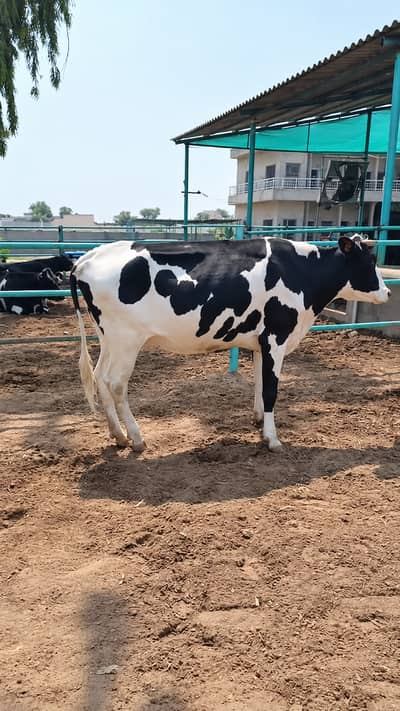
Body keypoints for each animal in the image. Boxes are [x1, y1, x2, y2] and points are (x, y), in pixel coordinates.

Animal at [70, 234, 390, 452]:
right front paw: (273, 439)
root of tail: (90, 256)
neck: (302, 273)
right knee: (116, 383)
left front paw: (260, 423)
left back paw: (118, 435)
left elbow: (261, 385)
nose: (387, 292)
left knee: (99, 376)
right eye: (369, 262)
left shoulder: (262, 342)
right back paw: (136, 438)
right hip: (127, 340)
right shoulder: (277, 336)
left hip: (109, 337)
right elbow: (271, 390)